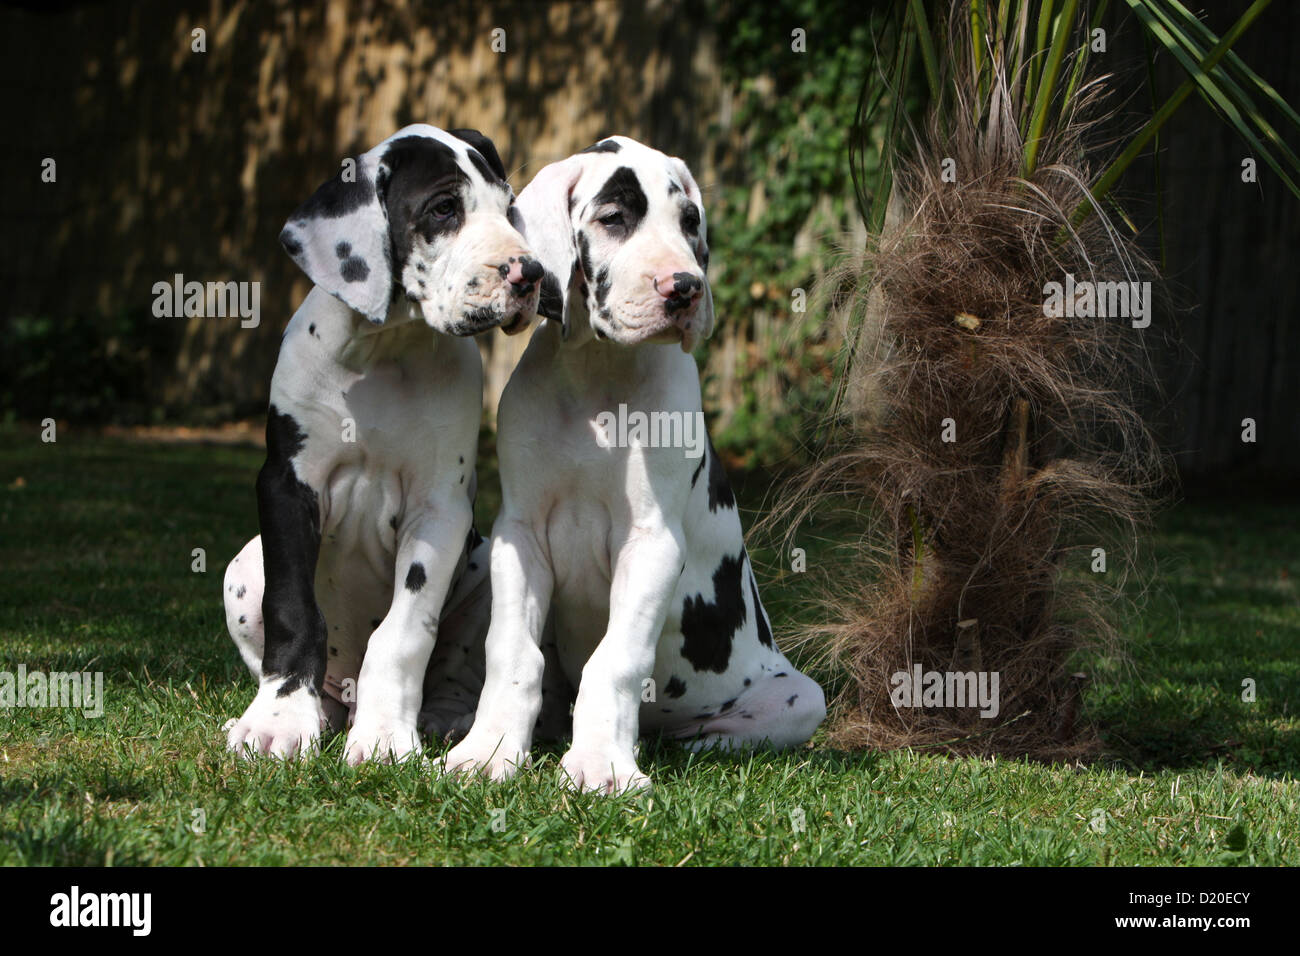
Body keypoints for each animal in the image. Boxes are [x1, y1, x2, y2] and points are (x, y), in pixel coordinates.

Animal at [226, 123, 540, 764]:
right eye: (444, 210)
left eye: (508, 207)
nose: (530, 273)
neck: (384, 351)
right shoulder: (287, 486)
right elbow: (293, 610)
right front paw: (278, 719)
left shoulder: (439, 507)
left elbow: (402, 631)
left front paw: (385, 735)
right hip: (241, 567)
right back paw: (320, 712)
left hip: (486, 573)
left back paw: (440, 719)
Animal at [441, 134, 826, 790]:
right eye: (614, 218)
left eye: (689, 222)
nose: (685, 287)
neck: (599, 377)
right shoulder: (520, 536)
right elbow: (511, 653)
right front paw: (488, 752)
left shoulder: (650, 542)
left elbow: (615, 661)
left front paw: (601, 766)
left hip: (800, 697)